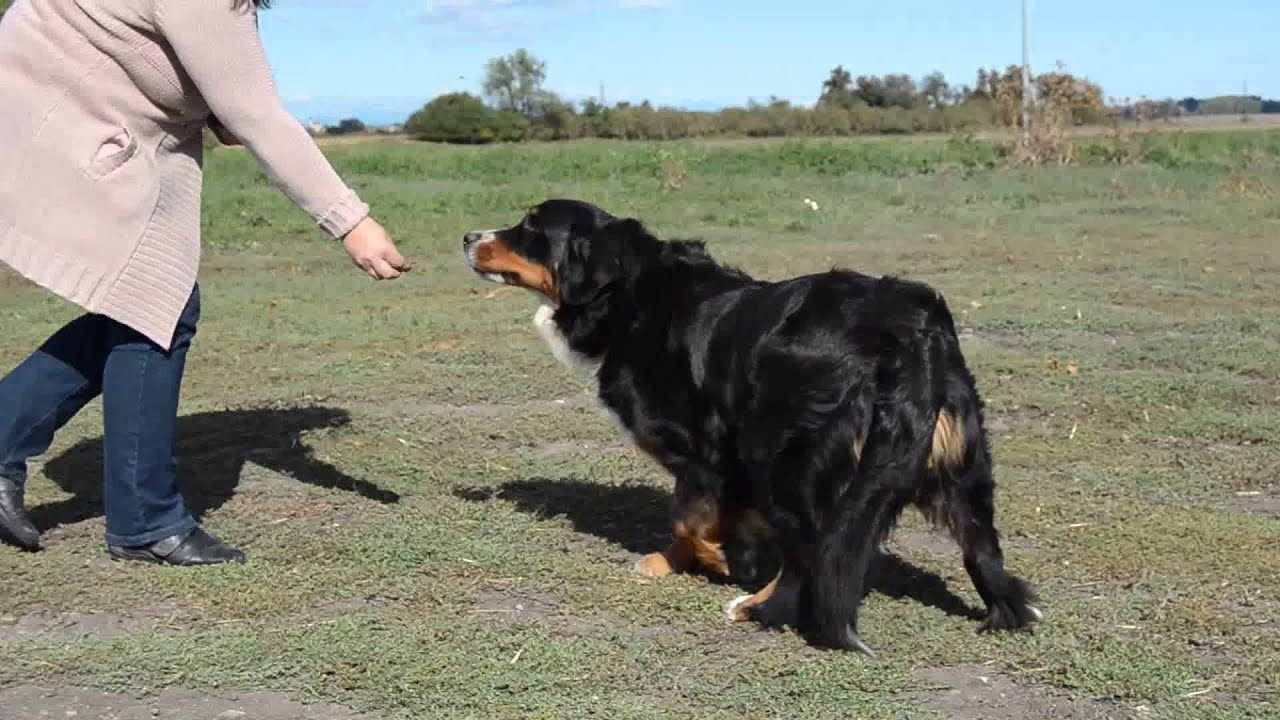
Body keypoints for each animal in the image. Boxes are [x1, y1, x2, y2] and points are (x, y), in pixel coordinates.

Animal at [460, 196, 1039, 650]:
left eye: (531, 228)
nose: (467, 236)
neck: (628, 295)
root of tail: (904, 326)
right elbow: (704, 518)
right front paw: (680, 560)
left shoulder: (704, 449)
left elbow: (689, 519)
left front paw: (717, 561)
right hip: (962, 460)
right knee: (982, 549)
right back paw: (1012, 611)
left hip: (781, 453)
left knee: (809, 548)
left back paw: (758, 608)